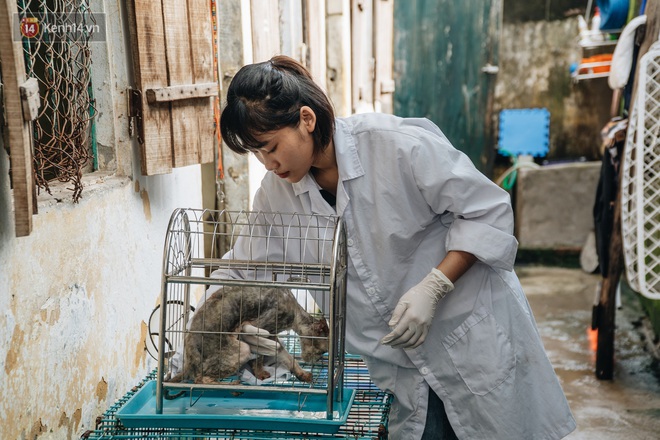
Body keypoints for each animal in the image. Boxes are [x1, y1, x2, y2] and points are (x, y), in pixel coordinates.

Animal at [168, 286, 328, 384]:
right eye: (322, 351)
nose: (316, 360)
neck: (295, 315)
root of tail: (189, 360)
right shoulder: (260, 328)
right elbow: (260, 358)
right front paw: (260, 373)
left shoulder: (272, 336)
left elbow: (287, 357)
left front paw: (302, 373)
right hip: (242, 349)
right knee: (199, 378)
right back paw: (231, 384)